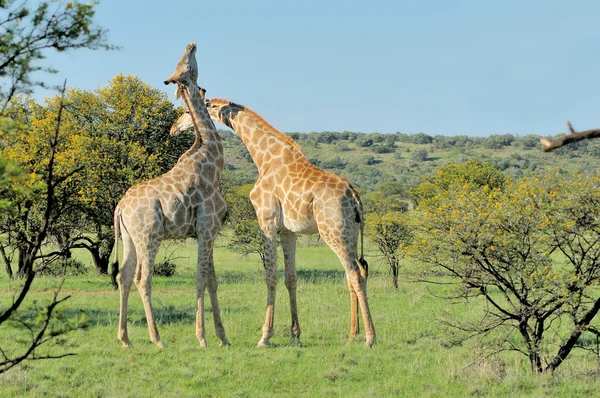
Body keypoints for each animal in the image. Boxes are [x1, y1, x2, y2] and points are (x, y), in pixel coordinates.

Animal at [110, 42, 227, 348]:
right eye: (186, 64)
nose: (191, 44)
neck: (212, 161)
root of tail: (119, 207)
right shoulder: (206, 227)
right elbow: (200, 279)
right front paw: (202, 338)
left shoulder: (208, 231)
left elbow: (212, 280)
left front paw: (223, 337)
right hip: (149, 235)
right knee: (142, 278)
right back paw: (156, 338)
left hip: (129, 237)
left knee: (123, 276)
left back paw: (125, 338)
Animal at [169, 95, 376, 346]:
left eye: (186, 111)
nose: (173, 129)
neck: (264, 157)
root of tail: (355, 198)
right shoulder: (288, 230)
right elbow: (291, 278)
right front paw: (295, 335)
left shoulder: (266, 219)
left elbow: (271, 276)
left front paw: (265, 336)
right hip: (350, 233)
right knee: (357, 273)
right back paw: (353, 333)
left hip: (333, 231)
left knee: (355, 274)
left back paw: (370, 338)